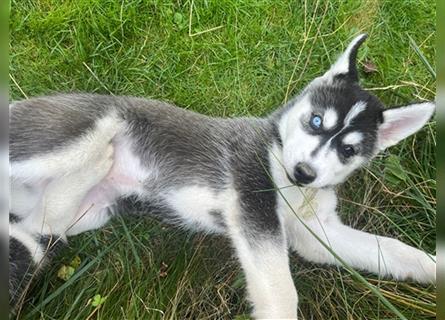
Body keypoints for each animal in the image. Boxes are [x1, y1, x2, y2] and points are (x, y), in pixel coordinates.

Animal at [8, 33, 436, 318]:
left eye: (348, 150)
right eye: (316, 121)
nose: (303, 172)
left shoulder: (315, 232)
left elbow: (388, 249)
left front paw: (433, 266)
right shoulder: (254, 205)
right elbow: (281, 291)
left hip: (89, 211)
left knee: (41, 223)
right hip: (59, 144)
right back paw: (100, 145)